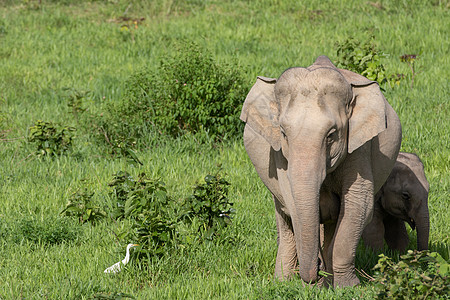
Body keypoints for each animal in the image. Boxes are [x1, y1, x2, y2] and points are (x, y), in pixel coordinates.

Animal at [241, 55, 402, 288]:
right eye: (283, 133)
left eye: (331, 135)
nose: (314, 275)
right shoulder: (279, 154)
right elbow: (292, 202)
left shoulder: (360, 147)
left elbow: (358, 204)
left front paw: (346, 287)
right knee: (285, 219)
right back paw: (283, 281)